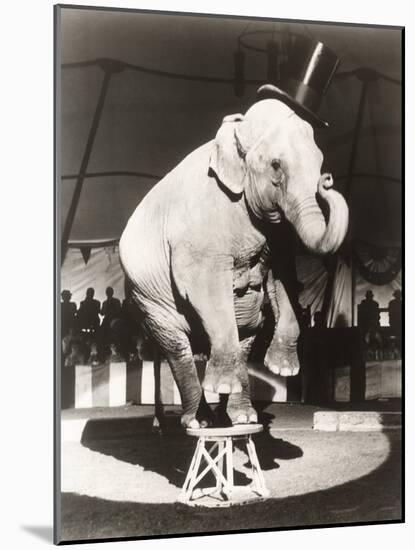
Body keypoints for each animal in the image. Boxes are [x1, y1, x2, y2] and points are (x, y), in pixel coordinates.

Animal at [120, 97, 352, 430]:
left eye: (319, 163)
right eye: (276, 165)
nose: (328, 180)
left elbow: (283, 275)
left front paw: (281, 371)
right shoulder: (199, 231)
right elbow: (205, 285)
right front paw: (224, 388)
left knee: (246, 332)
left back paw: (240, 417)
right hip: (147, 302)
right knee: (177, 347)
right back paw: (199, 421)